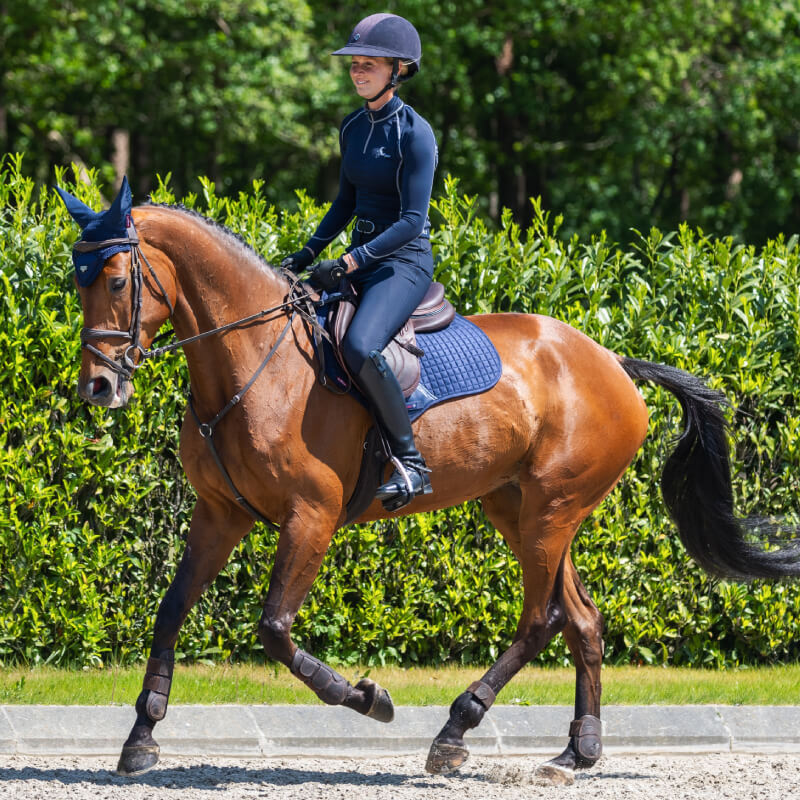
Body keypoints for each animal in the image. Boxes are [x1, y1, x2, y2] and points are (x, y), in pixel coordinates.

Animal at [70, 201, 800, 783]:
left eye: (117, 280)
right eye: (77, 287)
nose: (98, 387)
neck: (253, 362)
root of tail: (613, 362)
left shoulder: (311, 517)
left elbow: (275, 630)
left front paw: (369, 698)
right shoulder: (220, 514)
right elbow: (170, 610)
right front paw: (140, 740)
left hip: (553, 510)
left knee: (542, 619)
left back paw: (454, 731)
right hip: (521, 508)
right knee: (582, 619)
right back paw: (576, 753)